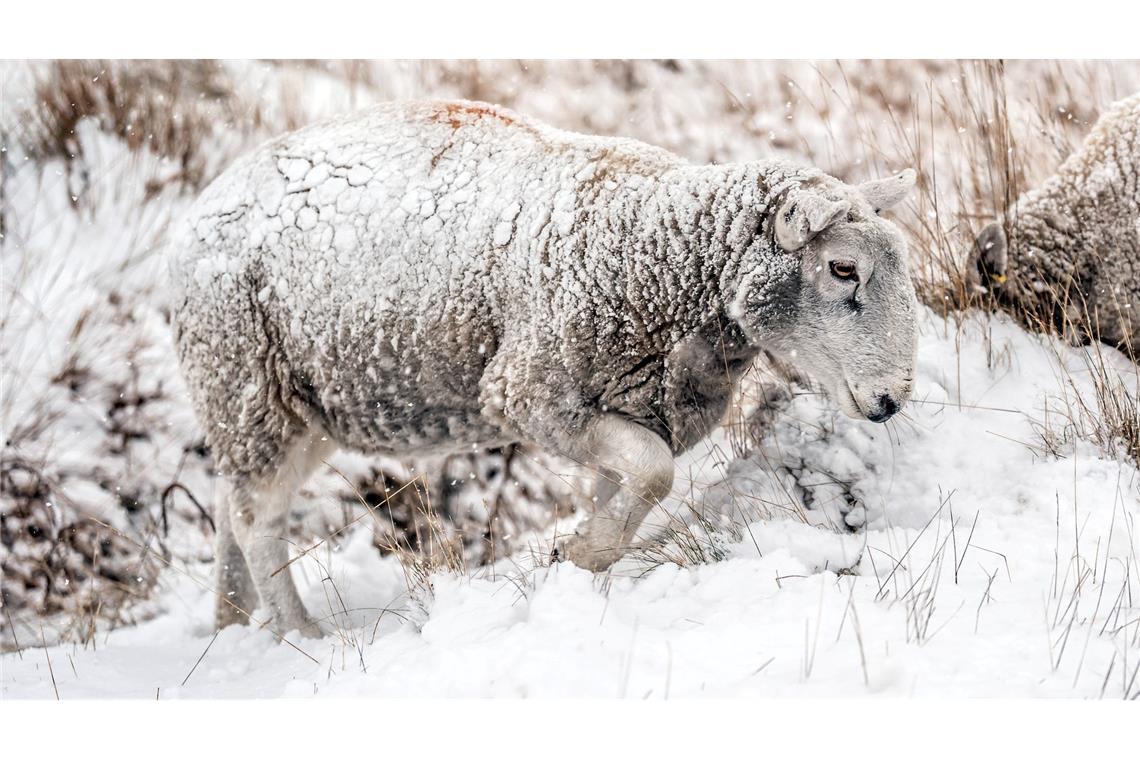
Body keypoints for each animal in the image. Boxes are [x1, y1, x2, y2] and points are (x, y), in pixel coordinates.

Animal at [166, 100, 916, 638]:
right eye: (842, 268)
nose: (892, 400)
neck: (658, 247)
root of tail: (198, 209)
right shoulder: (531, 395)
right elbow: (653, 472)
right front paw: (586, 555)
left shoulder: (641, 406)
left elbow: (628, 485)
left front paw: (581, 558)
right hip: (248, 383)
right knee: (257, 522)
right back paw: (304, 635)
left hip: (289, 406)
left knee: (231, 511)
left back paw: (234, 623)